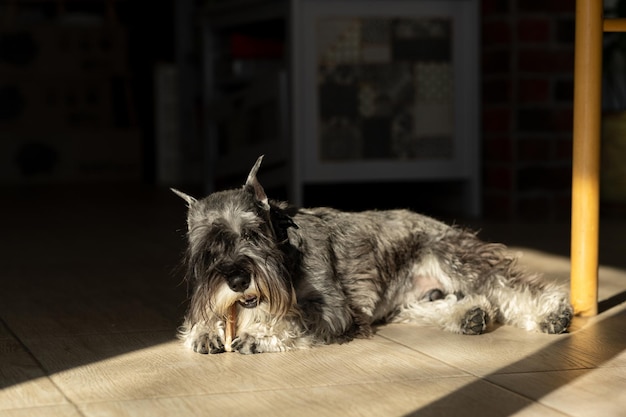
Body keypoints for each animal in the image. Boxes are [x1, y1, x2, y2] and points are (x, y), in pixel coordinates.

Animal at [171, 156, 572, 354]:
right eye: (208, 250)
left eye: (253, 234)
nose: (238, 280)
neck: (286, 250)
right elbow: (208, 314)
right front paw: (204, 331)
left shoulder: (333, 308)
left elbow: (293, 318)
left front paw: (261, 335)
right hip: (408, 298)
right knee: (434, 305)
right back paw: (470, 315)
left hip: (457, 259)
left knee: (507, 286)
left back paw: (552, 313)